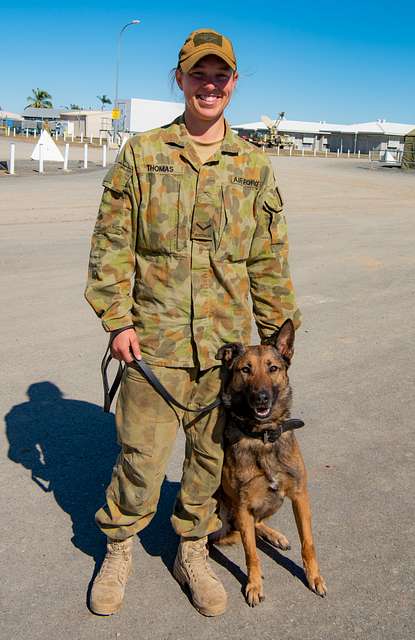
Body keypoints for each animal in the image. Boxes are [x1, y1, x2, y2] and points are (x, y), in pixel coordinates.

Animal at [214, 320, 328, 604]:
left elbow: (308, 543)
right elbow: (251, 553)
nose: (261, 398)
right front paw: (254, 584)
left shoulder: (299, 495)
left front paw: (314, 577)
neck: (263, 437)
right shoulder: (243, 506)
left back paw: (275, 536)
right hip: (223, 516)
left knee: (258, 524)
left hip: (275, 500)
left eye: (272, 368)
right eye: (245, 370)